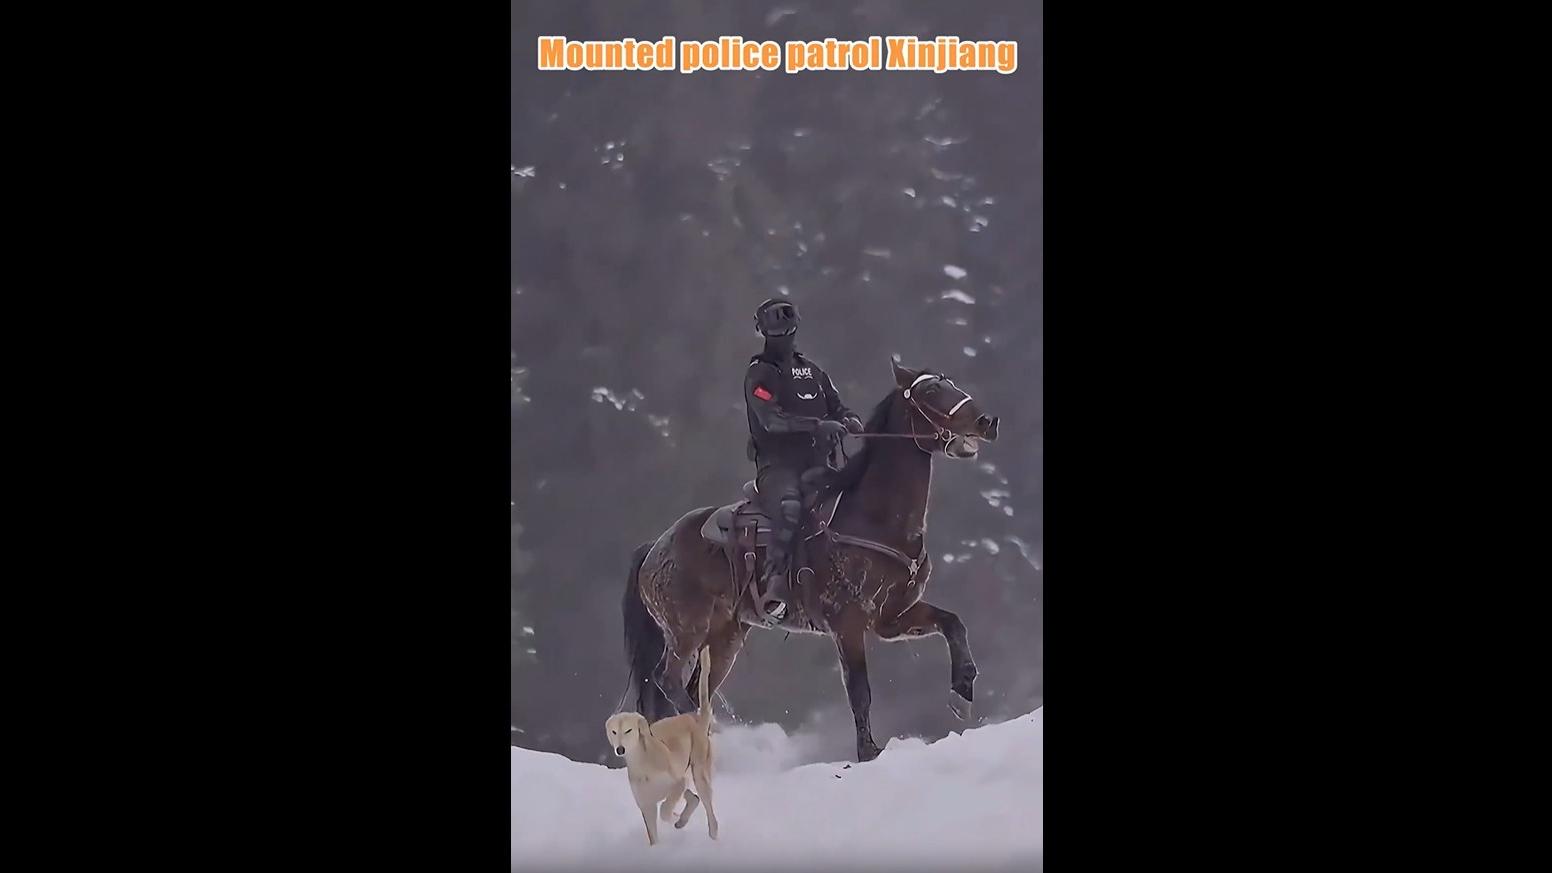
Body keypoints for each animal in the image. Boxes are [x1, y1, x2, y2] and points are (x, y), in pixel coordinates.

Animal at [620, 357, 999, 758]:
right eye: (930, 390)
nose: (986, 422)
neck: (875, 519)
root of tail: (655, 548)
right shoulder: (848, 624)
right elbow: (859, 692)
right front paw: (868, 752)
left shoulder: (892, 618)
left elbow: (952, 623)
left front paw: (962, 693)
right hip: (686, 630)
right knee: (667, 680)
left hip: (725, 637)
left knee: (692, 690)